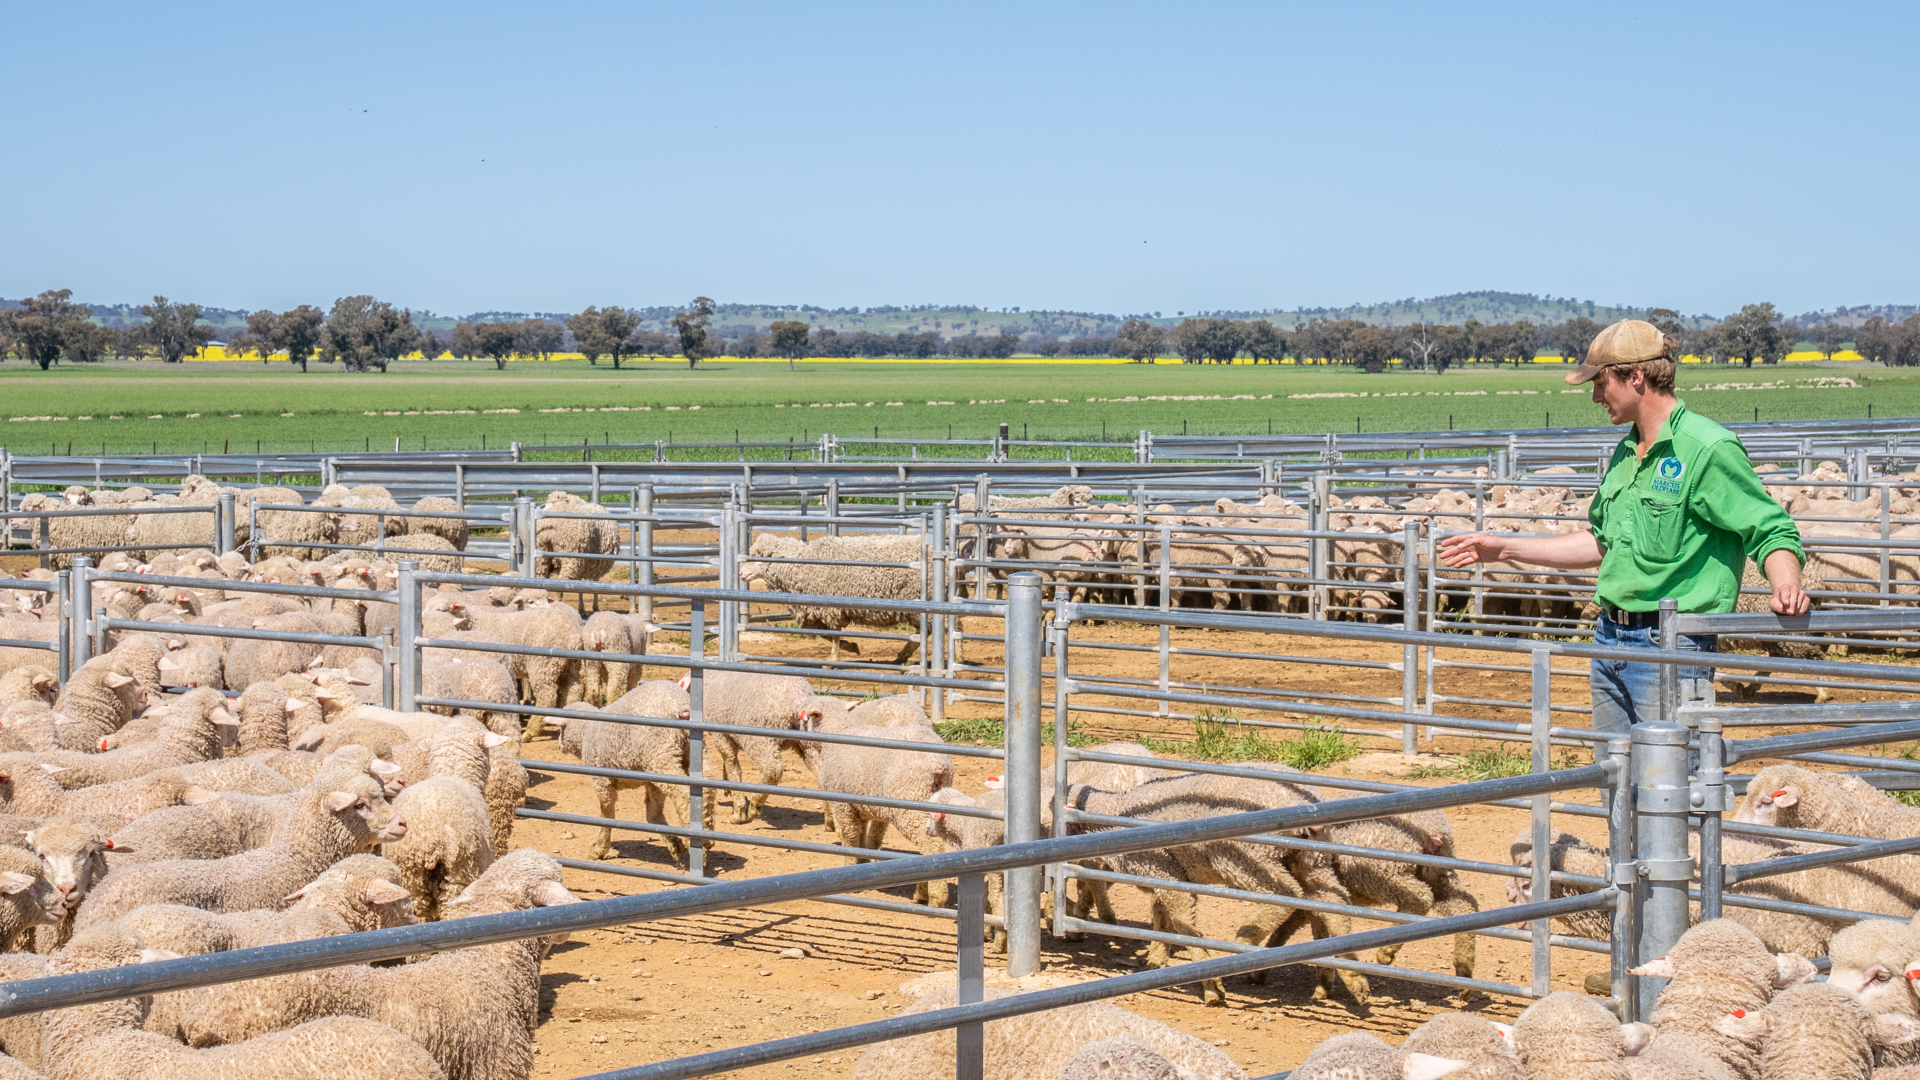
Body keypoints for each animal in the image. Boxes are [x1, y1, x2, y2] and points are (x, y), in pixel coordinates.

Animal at [580, 680, 710, 865]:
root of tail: (679, 706)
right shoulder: (649, 780)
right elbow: (653, 812)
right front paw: (674, 843)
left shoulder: (601, 780)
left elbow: (607, 812)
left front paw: (599, 849)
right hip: (692, 752)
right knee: (707, 788)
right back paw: (707, 831)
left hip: (661, 754)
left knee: (683, 795)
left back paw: (696, 841)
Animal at [741, 531, 928, 662]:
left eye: (761, 555)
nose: (741, 573)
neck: (804, 565)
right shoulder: (817, 610)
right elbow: (824, 634)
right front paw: (851, 647)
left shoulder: (831, 607)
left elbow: (834, 634)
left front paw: (834, 658)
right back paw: (903, 656)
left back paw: (904, 655)